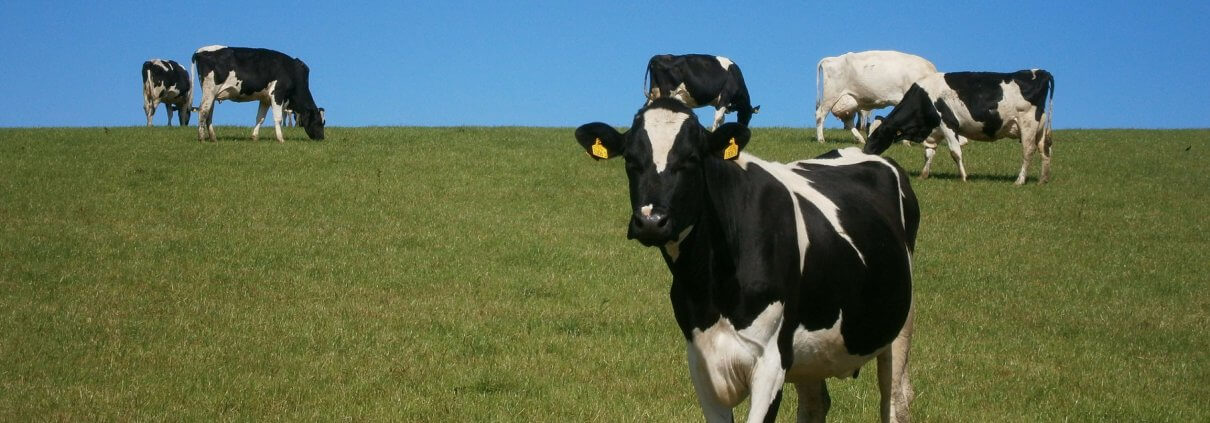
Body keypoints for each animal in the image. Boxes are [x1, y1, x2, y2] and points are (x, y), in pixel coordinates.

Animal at [189, 45, 324, 142]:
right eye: (318, 122)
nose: (321, 138)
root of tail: (200, 51)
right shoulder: (277, 93)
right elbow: (278, 118)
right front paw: (281, 139)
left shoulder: (265, 98)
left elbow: (260, 118)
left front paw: (254, 137)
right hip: (210, 89)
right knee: (203, 110)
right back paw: (201, 138)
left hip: (212, 93)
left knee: (209, 113)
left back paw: (213, 138)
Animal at [573, 97, 914, 420]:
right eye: (630, 161)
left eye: (691, 159)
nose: (651, 221)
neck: (710, 286)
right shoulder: (701, 361)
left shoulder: (771, 362)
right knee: (815, 405)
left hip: (900, 326)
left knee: (894, 402)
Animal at [866, 69, 1055, 184]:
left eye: (877, 135)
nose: (865, 152)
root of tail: (1040, 72)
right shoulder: (933, 132)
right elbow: (929, 153)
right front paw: (923, 175)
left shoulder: (948, 124)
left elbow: (955, 152)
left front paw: (964, 177)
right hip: (1039, 128)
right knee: (1045, 151)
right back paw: (1042, 180)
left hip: (1028, 124)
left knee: (1028, 151)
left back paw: (1020, 181)